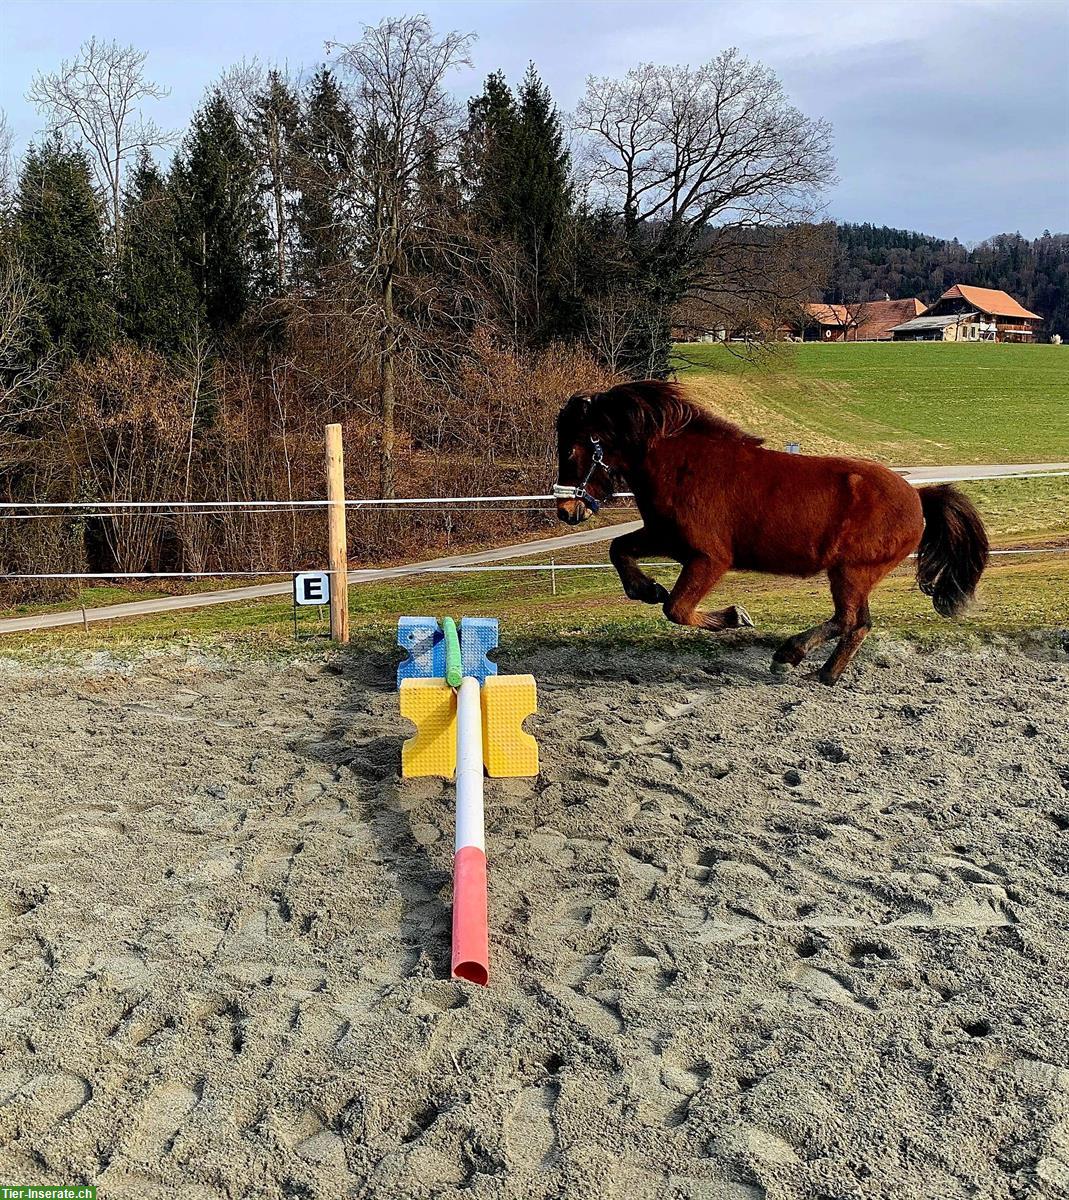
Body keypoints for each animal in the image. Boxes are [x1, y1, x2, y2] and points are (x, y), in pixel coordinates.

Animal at [556, 384, 988, 686]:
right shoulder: (665, 537)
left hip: (851, 572)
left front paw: (734, 617)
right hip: (856, 575)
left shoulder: (708, 558)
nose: (566, 511)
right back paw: (825, 673)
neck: (683, 466)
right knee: (858, 624)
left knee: (848, 620)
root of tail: (917, 497)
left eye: (572, 451)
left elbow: (677, 609)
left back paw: (790, 654)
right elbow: (619, 550)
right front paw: (645, 589)